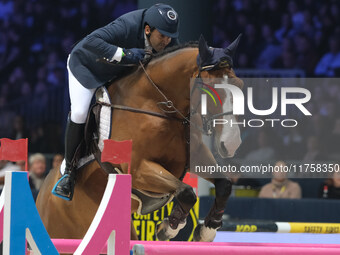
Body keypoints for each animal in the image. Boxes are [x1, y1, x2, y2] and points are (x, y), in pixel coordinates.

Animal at [36, 35, 244, 243]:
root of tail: (41, 197)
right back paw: (65, 185)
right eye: (210, 87)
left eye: (240, 85)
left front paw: (207, 230)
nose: (231, 144)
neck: (158, 104)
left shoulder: (196, 153)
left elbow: (224, 185)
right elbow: (186, 192)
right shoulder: (137, 168)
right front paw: (168, 229)